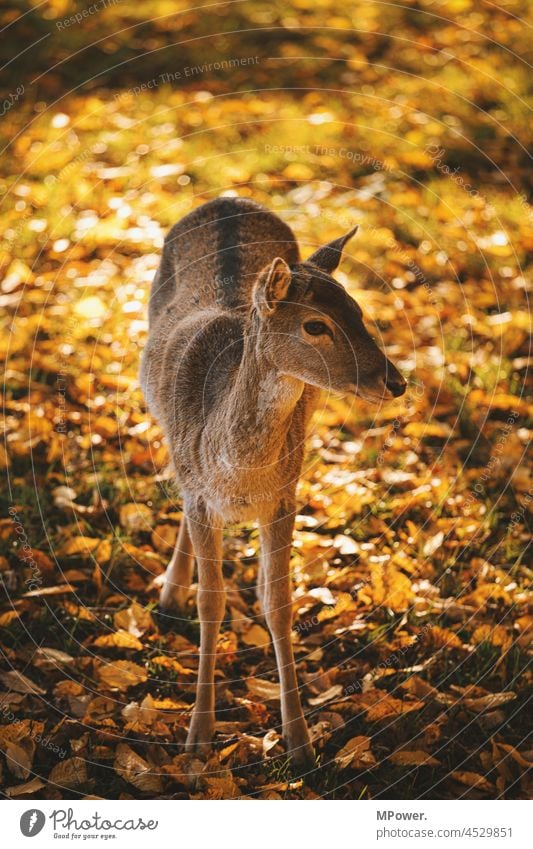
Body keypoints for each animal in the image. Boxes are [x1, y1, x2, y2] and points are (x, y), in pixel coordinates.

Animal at [139, 195, 406, 764]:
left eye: (359, 311)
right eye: (315, 325)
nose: (395, 381)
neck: (238, 470)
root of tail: (228, 200)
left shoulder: (287, 496)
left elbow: (280, 605)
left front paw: (300, 743)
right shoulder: (202, 496)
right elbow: (211, 602)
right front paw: (197, 740)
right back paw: (170, 592)